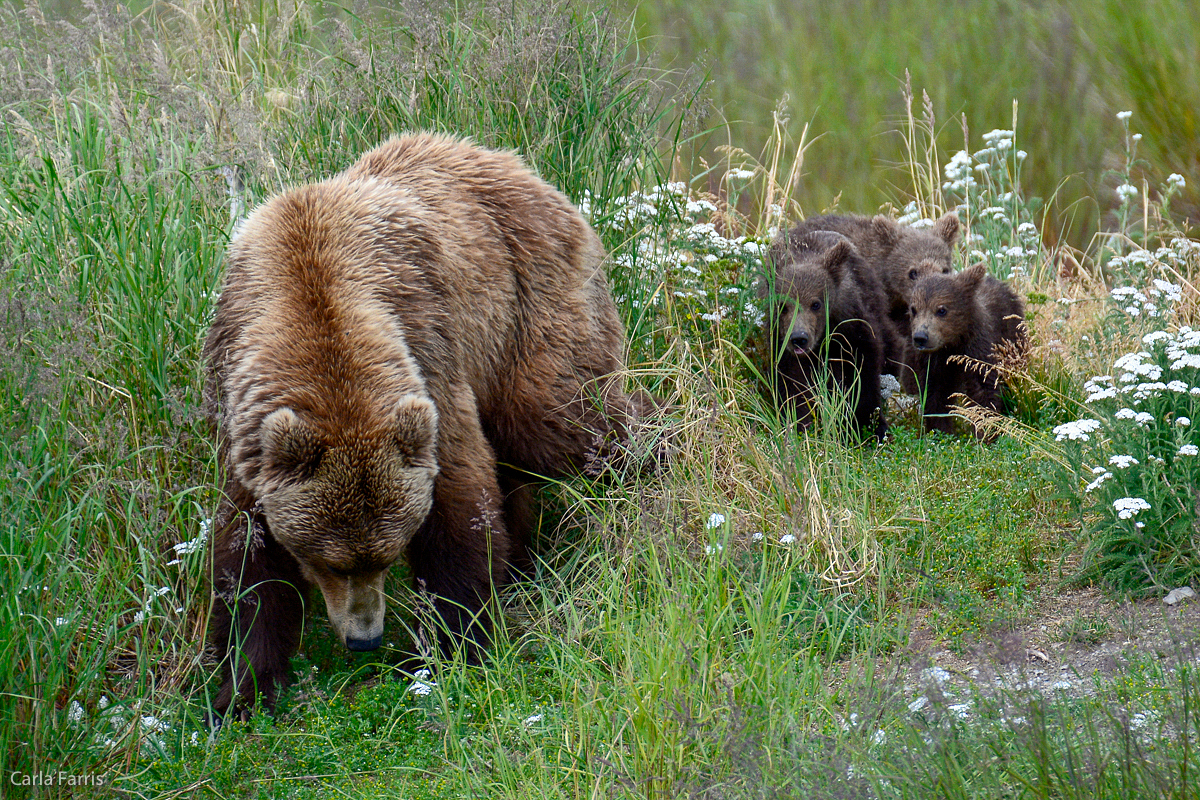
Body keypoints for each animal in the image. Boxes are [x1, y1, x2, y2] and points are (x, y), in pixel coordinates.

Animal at [204, 134, 648, 714]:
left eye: (385, 553)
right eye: (330, 560)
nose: (364, 637)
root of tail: (523, 169)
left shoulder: (428, 351)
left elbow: (459, 503)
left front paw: (455, 647)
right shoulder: (243, 416)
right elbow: (247, 558)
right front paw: (241, 687)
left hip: (527, 305)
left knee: (561, 419)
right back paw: (523, 558)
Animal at [763, 227, 897, 441]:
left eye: (816, 304)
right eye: (783, 306)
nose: (799, 338)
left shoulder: (853, 329)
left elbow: (863, 376)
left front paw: (871, 427)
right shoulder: (782, 343)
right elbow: (794, 385)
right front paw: (799, 425)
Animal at [907, 262, 1022, 438]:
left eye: (941, 309)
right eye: (914, 309)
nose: (921, 337)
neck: (953, 342)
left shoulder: (978, 351)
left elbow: (984, 389)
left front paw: (984, 432)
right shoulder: (935, 363)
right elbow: (935, 395)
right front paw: (942, 431)